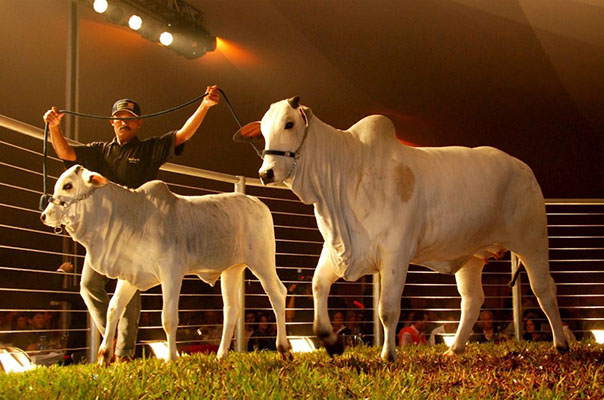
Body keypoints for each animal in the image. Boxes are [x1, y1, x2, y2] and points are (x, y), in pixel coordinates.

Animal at [41, 165, 292, 362]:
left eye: (68, 186)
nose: (44, 215)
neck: (132, 215)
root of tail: (258, 203)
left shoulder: (172, 273)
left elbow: (169, 318)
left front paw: (171, 359)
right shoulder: (130, 275)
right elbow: (113, 309)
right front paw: (104, 356)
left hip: (262, 260)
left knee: (277, 294)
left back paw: (284, 349)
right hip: (231, 269)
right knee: (231, 309)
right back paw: (221, 356)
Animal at [238, 96, 568, 360]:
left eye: (289, 124)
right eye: (263, 131)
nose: (266, 173)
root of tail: (524, 168)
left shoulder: (395, 253)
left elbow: (387, 309)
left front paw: (388, 355)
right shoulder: (336, 250)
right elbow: (318, 288)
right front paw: (332, 342)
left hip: (532, 241)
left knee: (543, 289)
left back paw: (561, 345)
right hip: (471, 256)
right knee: (473, 300)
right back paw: (454, 349)